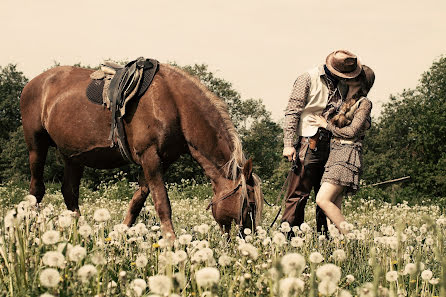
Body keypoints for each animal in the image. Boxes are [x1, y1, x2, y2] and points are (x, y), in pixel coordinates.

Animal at [20, 63, 264, 237]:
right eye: (249, 204)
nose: (248, 238)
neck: (174, 104)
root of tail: (33, 83)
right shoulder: (150, 157)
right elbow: (162, 204)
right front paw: (172, 246)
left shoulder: (159, 161)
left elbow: (138, 202)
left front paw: (120, 236)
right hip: (36, 147)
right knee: (36, 190)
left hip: (72, 156)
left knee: (69, 193)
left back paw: (81, 235)